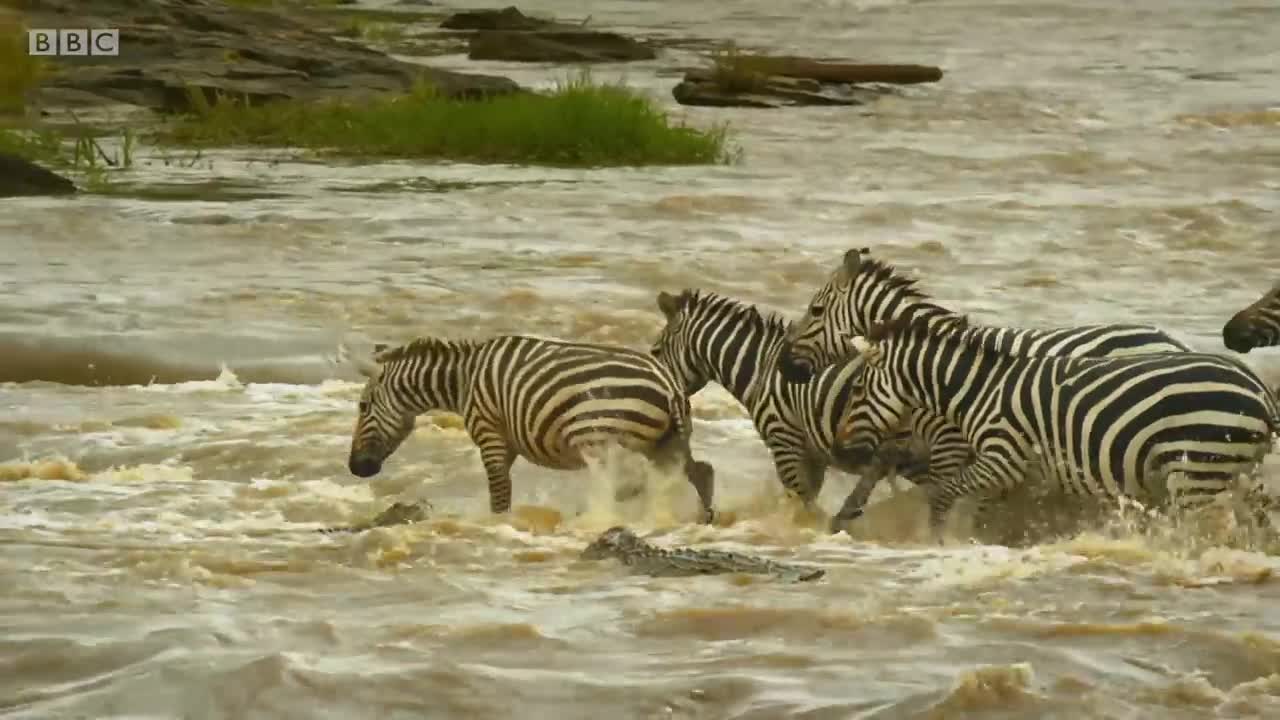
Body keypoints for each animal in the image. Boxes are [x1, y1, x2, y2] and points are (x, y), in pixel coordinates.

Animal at [340, 333, 721, 525]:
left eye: (362, 407)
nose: (356, 468)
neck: (463, 379)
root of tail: (669, 384)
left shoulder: (490, 434)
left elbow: (499, 494)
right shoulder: (506, 442)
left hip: (600, 439)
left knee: (627, 484)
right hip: (664, 442)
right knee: (698, 472)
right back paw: (702, 518)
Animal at [655, 285, 936, 527]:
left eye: (656, 351)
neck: (761, 368)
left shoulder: (784, 443)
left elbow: (803, 502)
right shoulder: (814, 456)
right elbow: (808, 500)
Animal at [839, 310, 1280, 538]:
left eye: (858, 387)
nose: (844, 445)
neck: (979, 388)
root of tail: (1259, 389)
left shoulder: (1003, 458)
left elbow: (944, 492)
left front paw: (936, 539)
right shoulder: (1022, 476)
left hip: (1198, 471)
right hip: (1236, 470)